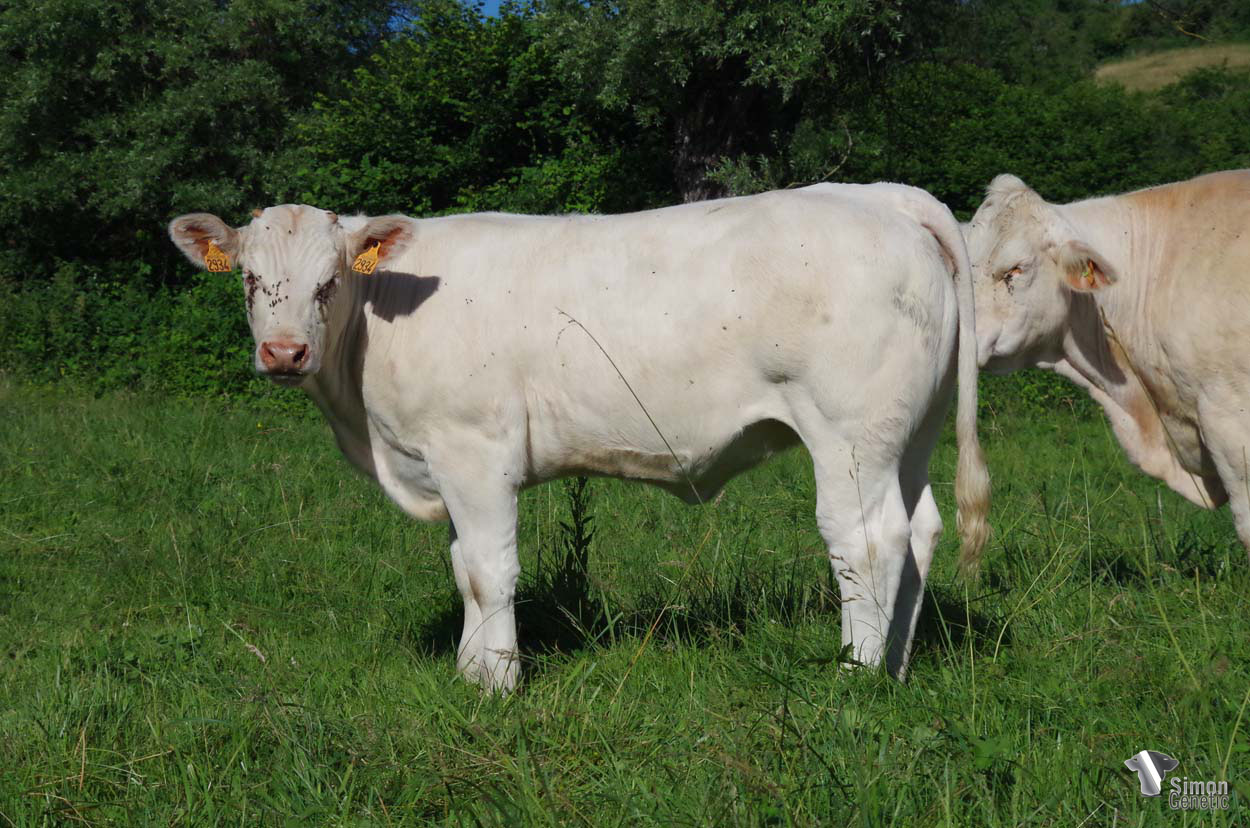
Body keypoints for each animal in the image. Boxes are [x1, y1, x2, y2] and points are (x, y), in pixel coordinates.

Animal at [169, 183, 989, 691]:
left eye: (329, 281)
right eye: (248, 279)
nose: (283, 353)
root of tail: (879, 195)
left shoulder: (475, 451)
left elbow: (490, 571)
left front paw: (497, 684)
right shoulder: (446, 463)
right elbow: (463, 567)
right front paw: (470, 672)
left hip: (849, 435)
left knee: (866, 541)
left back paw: (857, 677)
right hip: (906, 434)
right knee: (918, 531)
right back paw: (897, 667)